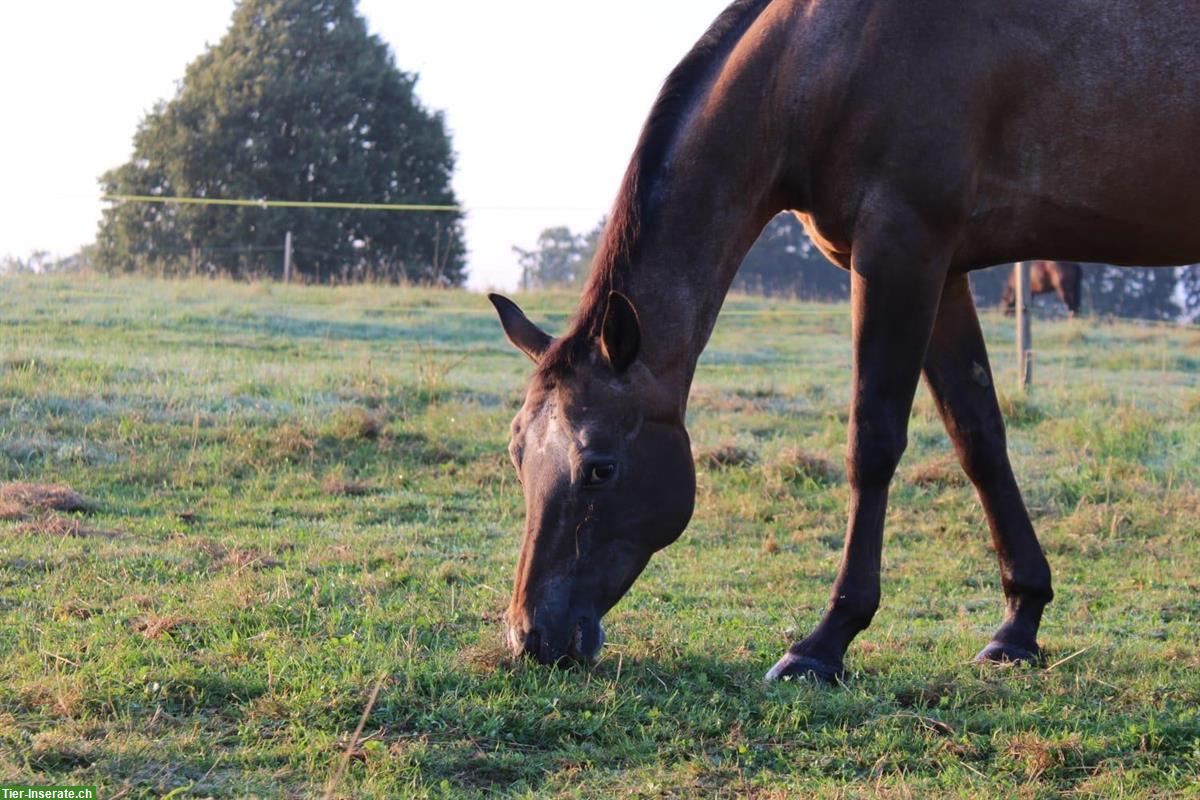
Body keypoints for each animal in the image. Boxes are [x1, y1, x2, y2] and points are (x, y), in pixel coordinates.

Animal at [487, 0, 1200, 681]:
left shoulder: (899, 251)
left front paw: (826, 641)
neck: (827, 56)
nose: (531, 638)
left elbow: (872, 443)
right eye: (519, 455)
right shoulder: (944, 273)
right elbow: (979, 440)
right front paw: (1019, 623)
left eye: (599, 467)